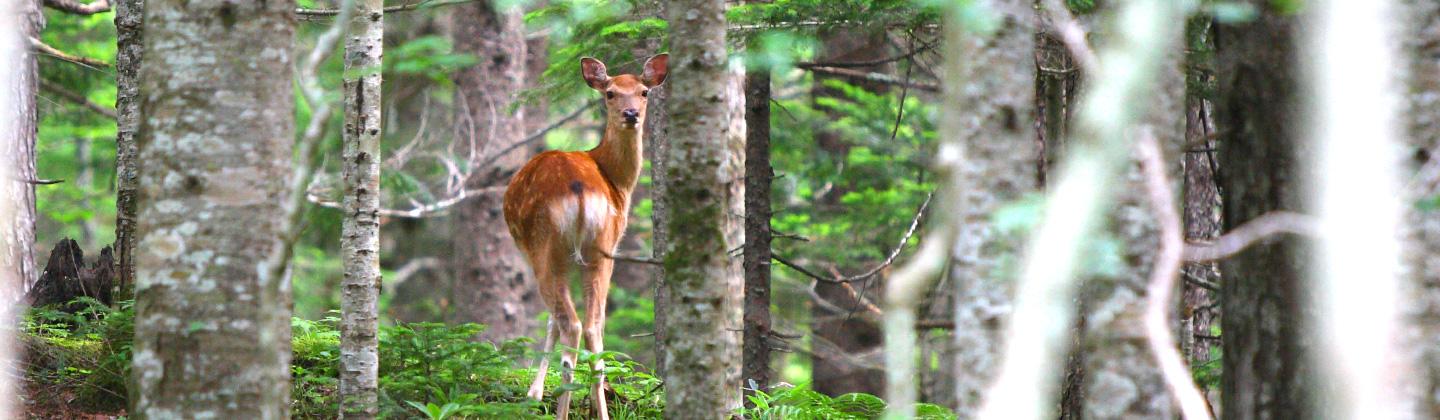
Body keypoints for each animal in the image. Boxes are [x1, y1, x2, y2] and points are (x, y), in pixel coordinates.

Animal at [501, 54, 668, 420]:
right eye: (610, 92)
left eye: (644, 91)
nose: (631, 114)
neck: (617, 183)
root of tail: (578, 189)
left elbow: (551, 322)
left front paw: (533, 394)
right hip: (598, 250)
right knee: (592, 329)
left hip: (547, 248)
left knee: (572, 326)